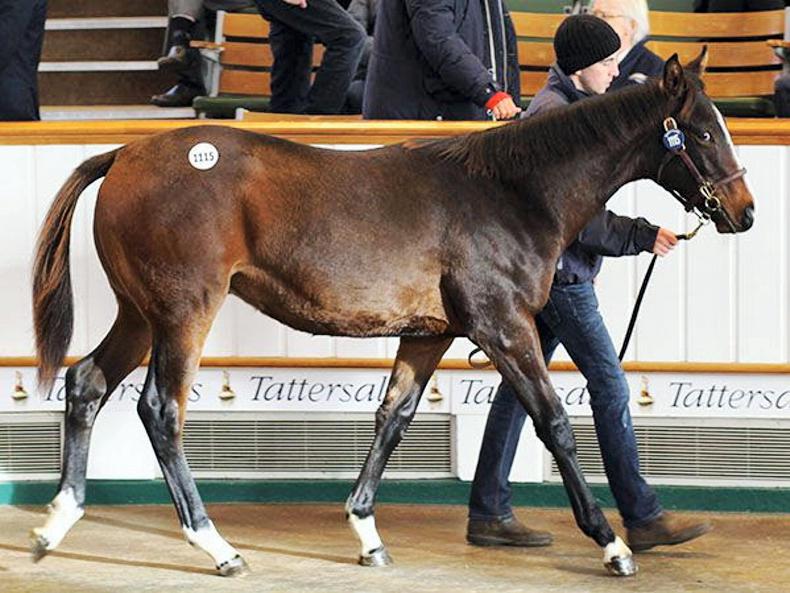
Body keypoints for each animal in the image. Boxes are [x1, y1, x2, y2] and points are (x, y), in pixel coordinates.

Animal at [30, 53, 754, 578]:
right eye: (703, 131)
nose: (744, 212)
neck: (510, 192)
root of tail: (124, 155)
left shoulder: (429, 335)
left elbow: (394, 418)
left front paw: (366, 531)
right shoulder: (502, 326)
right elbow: (554, 423)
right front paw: (613, 544)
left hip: (140, 313)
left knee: (87, 382)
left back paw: (54, 523)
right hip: (183, 313)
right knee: (161, 410)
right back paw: (216, 545)